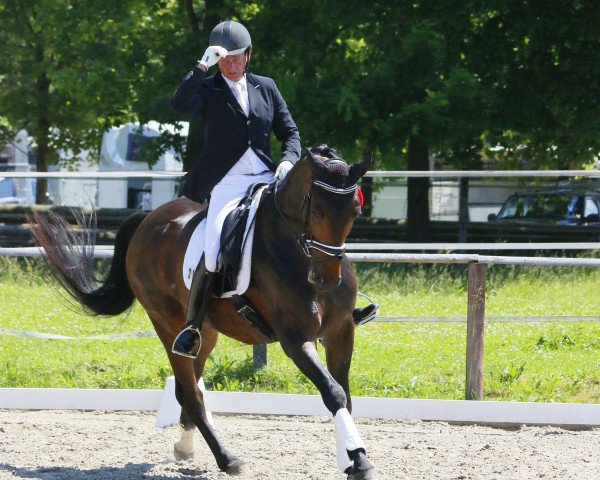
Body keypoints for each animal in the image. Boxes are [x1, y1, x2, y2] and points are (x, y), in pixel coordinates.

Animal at [30, 146, 378, 480]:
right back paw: (227, 459)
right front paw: (359, 461)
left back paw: (185, 448)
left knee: (189, 388)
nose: (325, 279)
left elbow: (345, 395)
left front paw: (350, 458)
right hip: (167, 324)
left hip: (205, 332)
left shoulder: (341, 333)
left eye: (355, 211)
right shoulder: (295, 338)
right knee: (191, 394)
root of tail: (149, 218)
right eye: (316, 210)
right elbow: (333, 392)